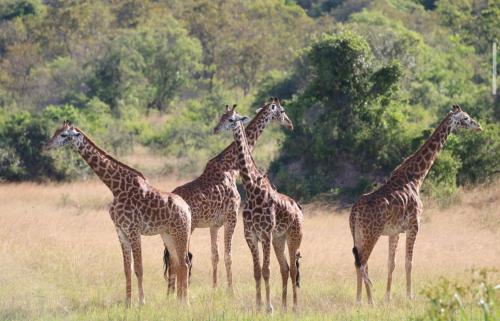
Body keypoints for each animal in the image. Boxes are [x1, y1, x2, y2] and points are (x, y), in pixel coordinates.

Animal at [45, 122, 191, 304]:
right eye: (56, 131)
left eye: (64, 135)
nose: (47, 145)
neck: (115, 188)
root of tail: (187, 208)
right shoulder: (120, 231)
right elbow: (127, 269)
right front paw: (128, 303)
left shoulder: (134, 230)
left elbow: (139, 268)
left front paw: (142, 302)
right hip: (168, 234)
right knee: (178, 263)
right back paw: (178, 302)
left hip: (181, 232)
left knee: (185, 263)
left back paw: (185, 303)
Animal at [166, 96, 294, 292]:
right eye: (282, 111)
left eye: (228, 118)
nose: (290, 124)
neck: (231, 168)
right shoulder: (232, 215)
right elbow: (228, 255)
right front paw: (230, 290)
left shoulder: (214, 224)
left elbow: (215, 255)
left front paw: (215, 289)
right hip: (187, 228)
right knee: (180, 259)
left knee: (173, 259)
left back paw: (171, 293)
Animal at [213, 104, 302, 312]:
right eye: (221, 117)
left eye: (231, 119)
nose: (216, 129)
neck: (251, 188)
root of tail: (299, 210)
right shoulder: (251, 235)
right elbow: (256, 271)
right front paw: (259, 304)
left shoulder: (265, 234)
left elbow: (266, 270)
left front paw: (269, 307)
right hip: (279, 239)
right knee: (285, 268)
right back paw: (284, 306)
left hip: (294, 237)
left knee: (294, 269)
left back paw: (294, 307)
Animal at [350, 105, 482, 302]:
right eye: (465, 118)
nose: (478, 126)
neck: (417, 177)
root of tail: (354, 211)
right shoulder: (414, 225)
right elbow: (409, 262)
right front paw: (409, 296)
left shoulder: (394, 231)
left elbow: (391, 263)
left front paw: (388, 297)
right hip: (371, 233)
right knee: (363, 263)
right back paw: (368, 301)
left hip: (358, 233)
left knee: (359, 262)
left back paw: (360, 299)